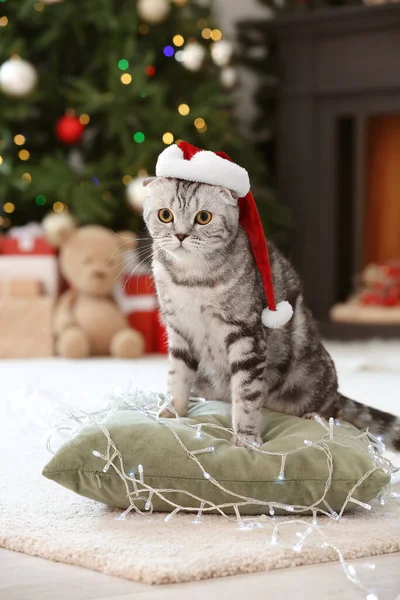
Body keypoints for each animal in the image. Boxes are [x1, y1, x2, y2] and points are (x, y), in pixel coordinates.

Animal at [144, 177, 400, 450]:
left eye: (203, 217)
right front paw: (173, 412)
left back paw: (314, 416)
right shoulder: (179, 329)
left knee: (334, 410)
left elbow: (246, 395)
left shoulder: (246, 334)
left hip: (311, 377)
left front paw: (246, 438)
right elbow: (177, 376)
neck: (191, 280)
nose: (181, 235)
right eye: (165, 215)